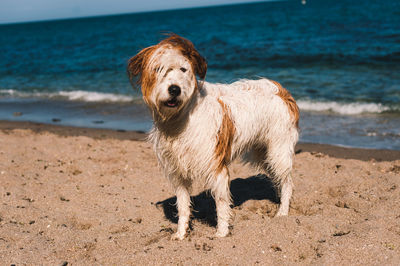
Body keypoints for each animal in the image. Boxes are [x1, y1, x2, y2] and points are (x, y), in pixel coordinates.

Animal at [126, 34, 298, 240]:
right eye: (159, 69)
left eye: (183, 69)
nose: (174, 89)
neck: (181, 118)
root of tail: (278, 88)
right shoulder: (178, 171)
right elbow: (183, 205)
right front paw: (181, 234)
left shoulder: (216, 166)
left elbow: (221, 203)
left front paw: (222, 233)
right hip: (262, 153)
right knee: (278, 179)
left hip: (277, 151)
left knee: (287, 182)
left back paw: (283, 212)